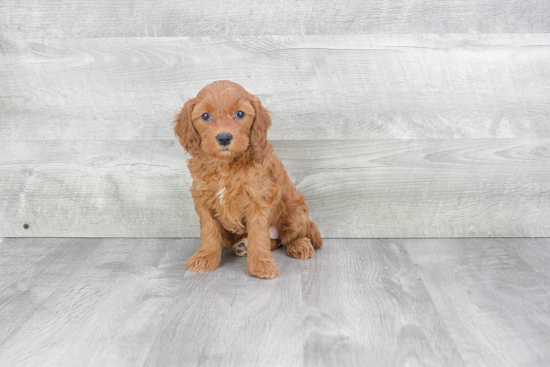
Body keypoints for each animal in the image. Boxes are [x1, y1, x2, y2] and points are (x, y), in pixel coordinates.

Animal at [175, 79, 324, 278]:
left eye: (240, 114)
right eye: (205, 116)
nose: (224, 137)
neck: (225, 165)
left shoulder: (258, 200)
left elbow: (258, 234)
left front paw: (261, 264)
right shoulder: (203, 200)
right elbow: (208, 232)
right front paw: (205, 257)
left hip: (295, 213)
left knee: (291, 236)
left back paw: (299, 245)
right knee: (272, 241)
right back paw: (243, 246)